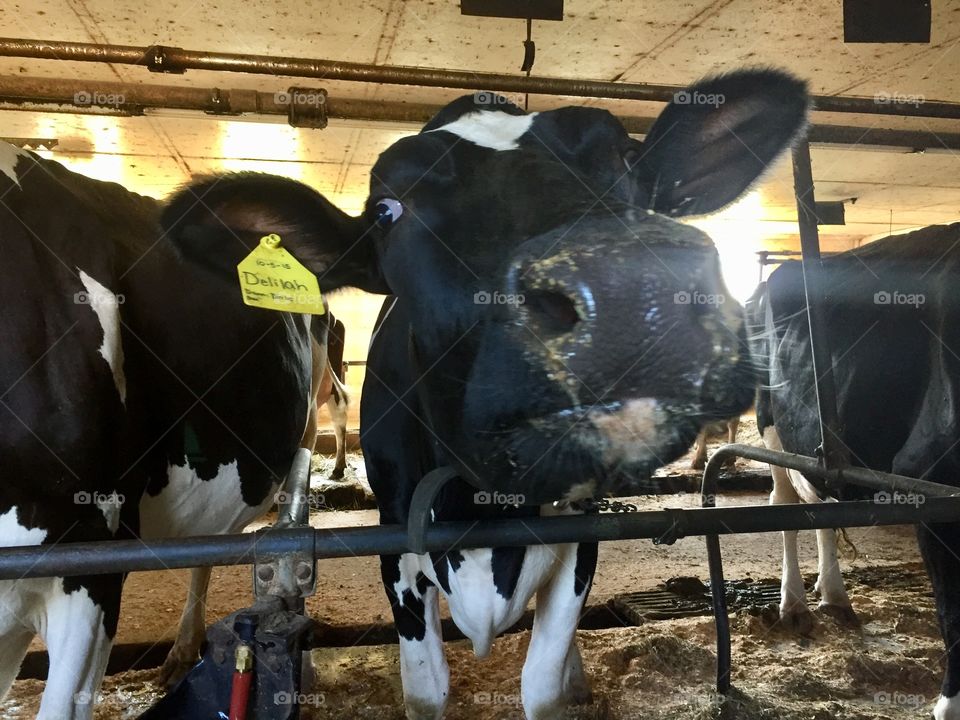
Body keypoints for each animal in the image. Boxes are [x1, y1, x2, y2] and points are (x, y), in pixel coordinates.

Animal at [359, 70, 809, 720]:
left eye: (625, 160)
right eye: (386, 208)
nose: (628, 287)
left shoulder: (583, 534)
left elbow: (542, 686)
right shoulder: (394, 536)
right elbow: (426, 691)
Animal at [751, 224, 960, 719]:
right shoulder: (930, 484)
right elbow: (953, 612)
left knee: (822, 508)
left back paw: (834, 595)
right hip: (772, 427)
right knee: (785, 505)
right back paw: (794, 603)